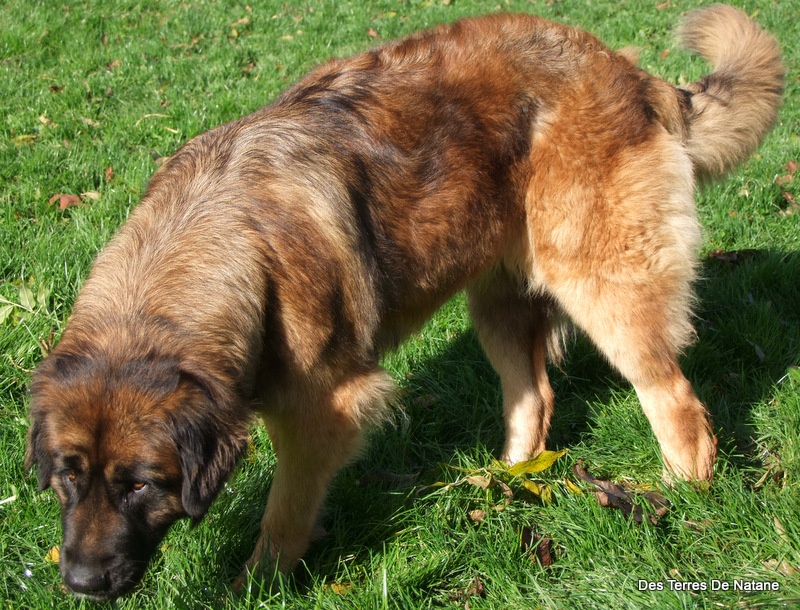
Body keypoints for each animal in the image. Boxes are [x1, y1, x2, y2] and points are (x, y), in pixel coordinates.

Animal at [25, 2, 780, 596]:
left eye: (141, 484)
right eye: (67, 476)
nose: (81, 582)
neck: (217, 244)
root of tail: (633, 73)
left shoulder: (322, 409)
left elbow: (282, 514)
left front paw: (256, 585)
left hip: (604, 287)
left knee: (676, 400)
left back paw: (678, 495)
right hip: (498, 302)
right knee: (534, 396)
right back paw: (506, 482)